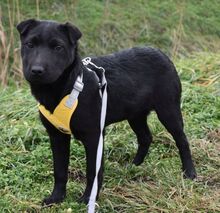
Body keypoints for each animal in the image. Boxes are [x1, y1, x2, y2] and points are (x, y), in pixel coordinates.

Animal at [16, 19, 197, 206]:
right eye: (30, 45)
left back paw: (189, 173)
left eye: (58, 47)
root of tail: (162, 54)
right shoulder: (57, 136)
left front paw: (88, 198)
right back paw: (134, 166)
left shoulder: (94, 136)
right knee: (145, 137)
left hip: (168, 110)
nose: (37, 70)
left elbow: (92, 171)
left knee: (182, 141)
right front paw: (56, 198)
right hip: (135, 115)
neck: (65, 87)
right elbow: (59, 170)